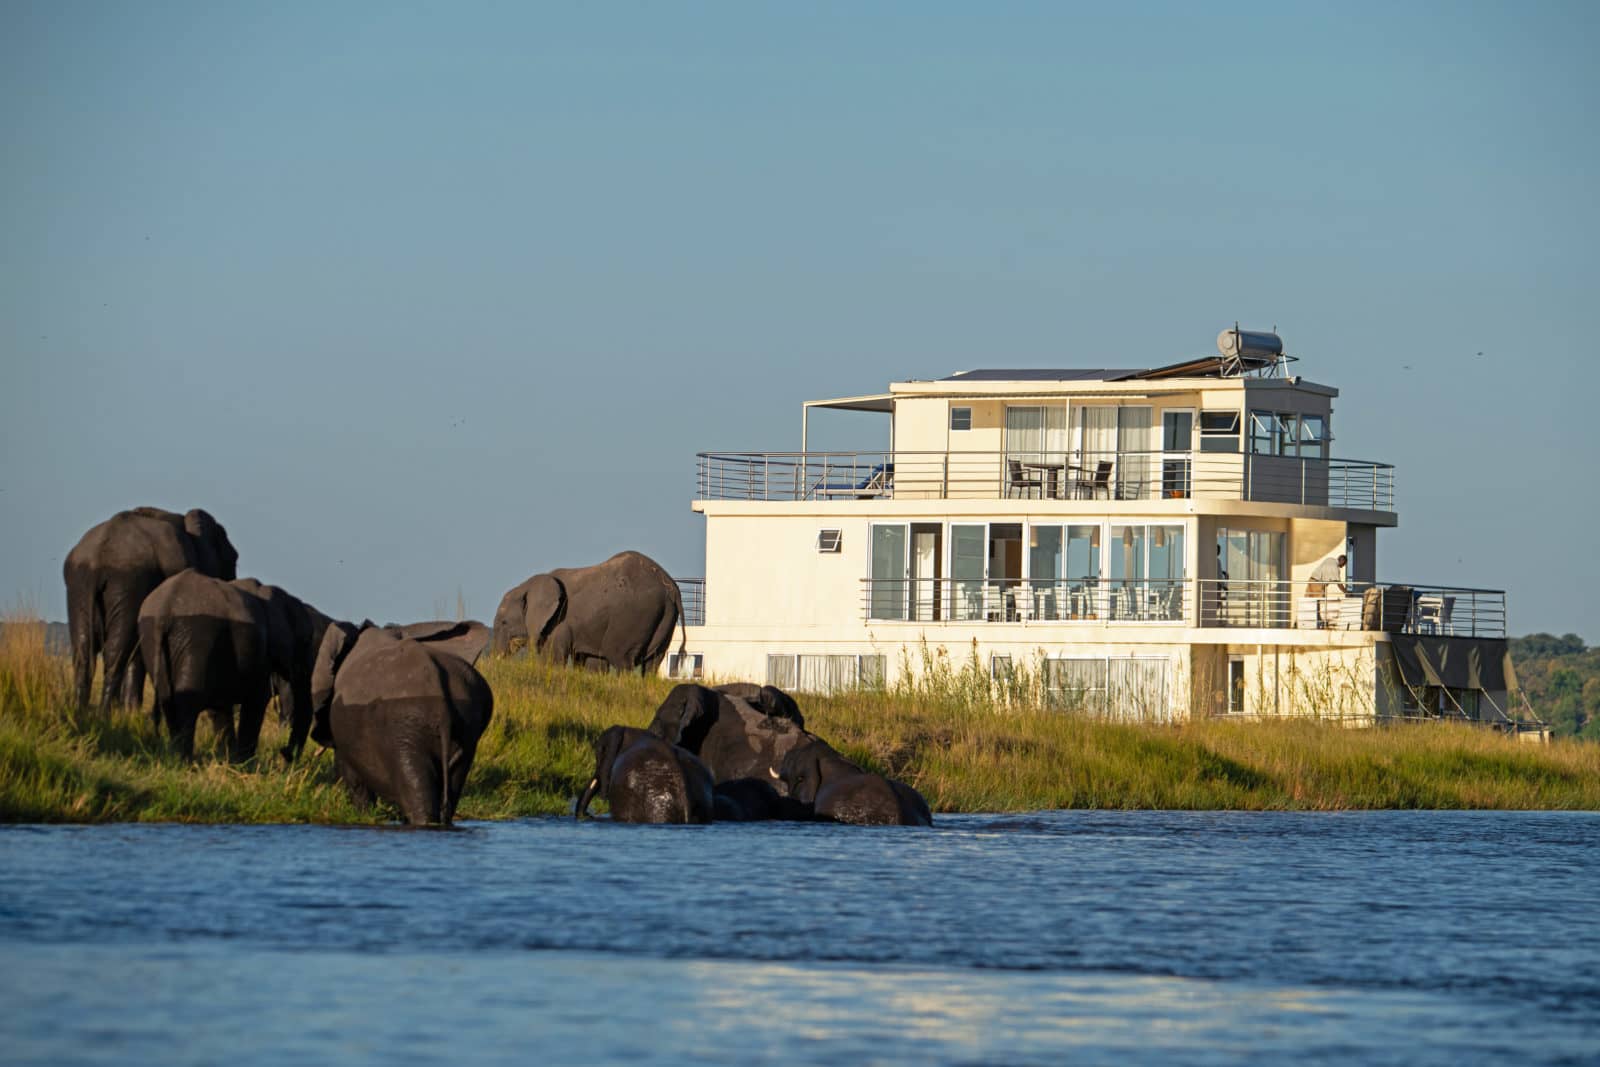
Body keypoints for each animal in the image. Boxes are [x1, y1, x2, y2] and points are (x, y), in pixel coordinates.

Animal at [64, 506, 239, 714]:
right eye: (233, 559)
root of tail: (99, 556)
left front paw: (129, 712)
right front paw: (132, 712)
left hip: (80, 584)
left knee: (83, 650)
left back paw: (81, 711)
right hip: (128, 582)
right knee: (116, 652)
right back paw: (104, 713)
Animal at [492, 550, 684, 673]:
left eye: (504, 622)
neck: (531, 584)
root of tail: (671, 589)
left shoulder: (559, 621)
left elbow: (553, 658)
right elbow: (594, 664)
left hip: (634, 615)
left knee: (621, 657)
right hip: (665, 618)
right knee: (652, 663)